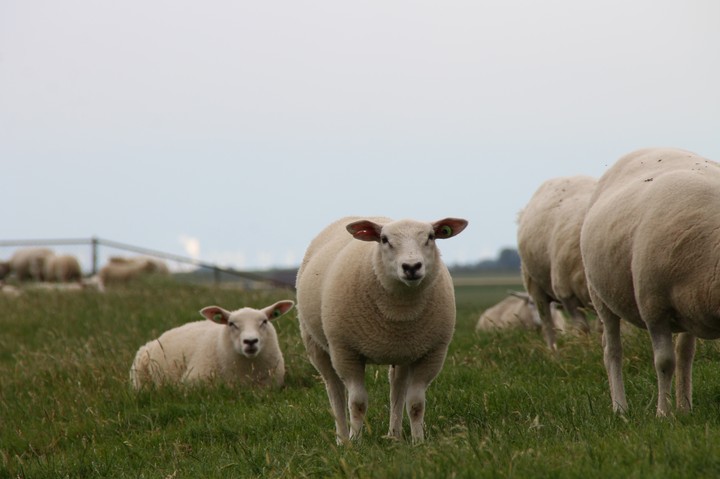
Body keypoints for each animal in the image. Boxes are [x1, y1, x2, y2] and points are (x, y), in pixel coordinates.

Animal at [295, 216, 468, 443]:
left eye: (431, 237)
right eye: (384, 240)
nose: (411, 267)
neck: (401, 309)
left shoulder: (432, 353)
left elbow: (416, 404)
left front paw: (419, 442)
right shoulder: (346, 352)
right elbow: (357, 403)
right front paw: (355, 441)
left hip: (403, 351)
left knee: (397, 387)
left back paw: (394, 435)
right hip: (316, 343)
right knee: (334, 391)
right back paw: (342, 439)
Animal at [517, 175, 597, 350]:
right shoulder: (566, 294)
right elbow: (582, 329)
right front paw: (586, 351)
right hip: (535, 286)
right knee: (547, 324)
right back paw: (554, 352)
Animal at [580, 147, 720, 416]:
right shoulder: (653, 308)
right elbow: (664, 362)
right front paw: (662, 414)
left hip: (687, 307)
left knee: (685, 353)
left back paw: (685, 407)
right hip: (600, 296)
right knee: (612, 350)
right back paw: (620, 408)